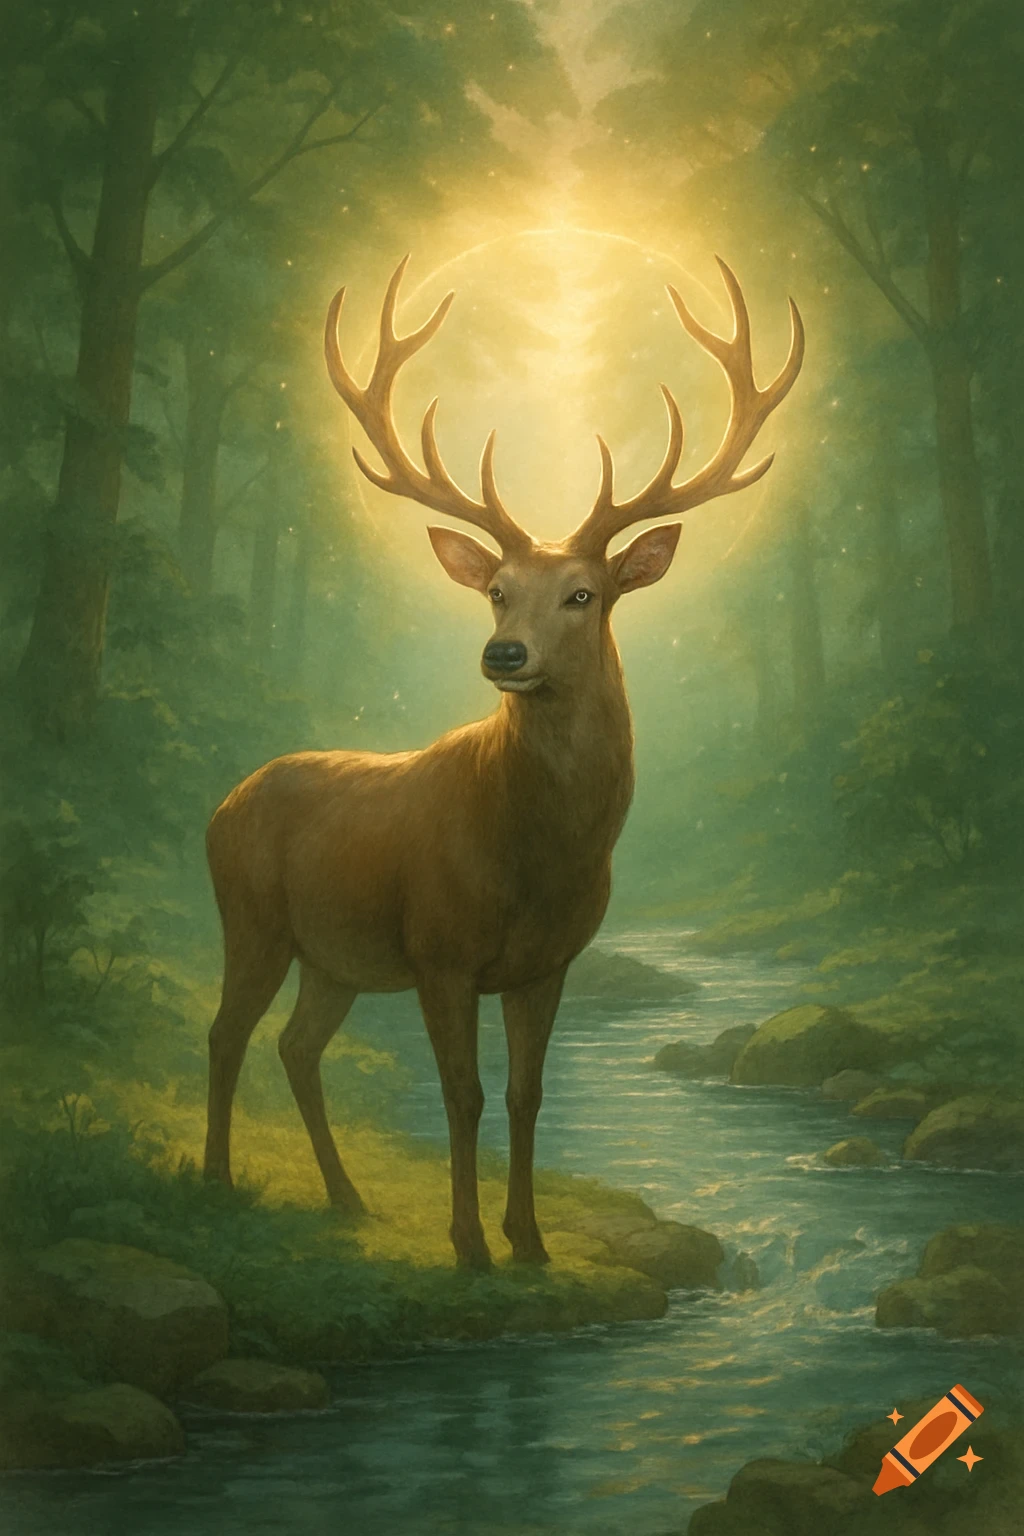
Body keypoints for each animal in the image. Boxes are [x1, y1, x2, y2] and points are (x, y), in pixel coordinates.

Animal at [203, 255, 803, 1270]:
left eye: (584, 592)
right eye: (494, 589)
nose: (505, 654)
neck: (535, 857)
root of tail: (219, 807)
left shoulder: (547, 962)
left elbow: (527, 1095)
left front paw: (529, 1242)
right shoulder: (441, 950)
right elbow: (465, 1093)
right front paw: (470, 1245)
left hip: (334, 957)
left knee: (295, 1046)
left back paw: (348, 1198)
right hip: (252, 919)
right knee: (224, 1035)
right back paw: (215, 1181)